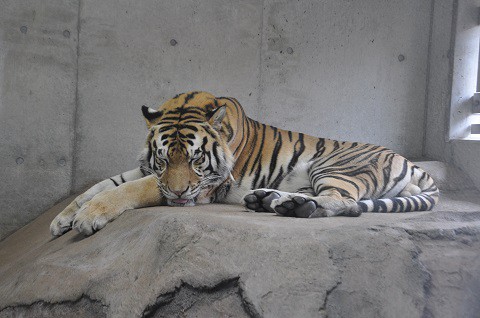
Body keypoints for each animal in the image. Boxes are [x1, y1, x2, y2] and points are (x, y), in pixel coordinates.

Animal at [49, 90, 438, 235]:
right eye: (162, 158)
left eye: (196, 159)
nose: (178, 195)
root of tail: (409, 161)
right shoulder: (148, 169)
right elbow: (101, 185)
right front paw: (63, 218)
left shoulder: (205, 186)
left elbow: (126, 190)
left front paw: (87, 218)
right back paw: (268, 200)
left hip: (335, 166)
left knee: (346, 202)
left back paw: (293, 205)